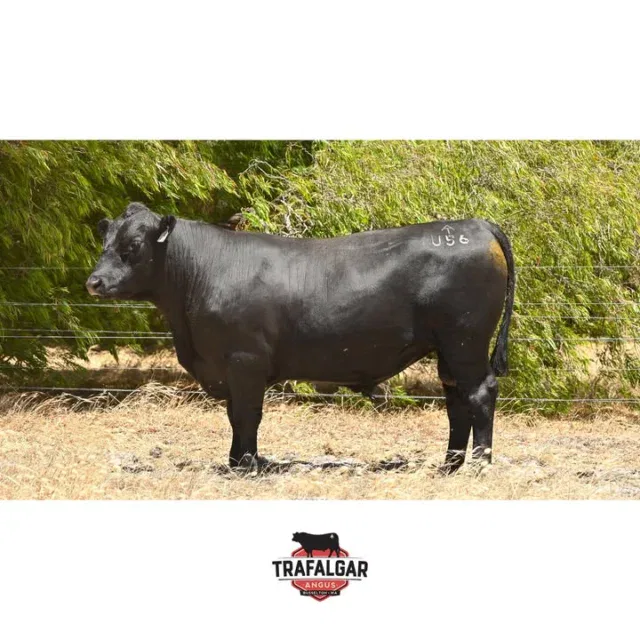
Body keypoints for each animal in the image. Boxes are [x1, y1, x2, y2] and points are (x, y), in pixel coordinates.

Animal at [86, 202, 515, 473]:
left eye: (133, 246)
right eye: (105, 243)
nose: (95, 282)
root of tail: (474, 224)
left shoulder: (244, 362)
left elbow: (246, 414)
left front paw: (246, 465)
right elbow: (234, 415)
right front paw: (236, 461)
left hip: (465, 342)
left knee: (480, 393)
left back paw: (480, 464)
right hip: (449, 349)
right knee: (456, 401)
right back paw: (449, 466)